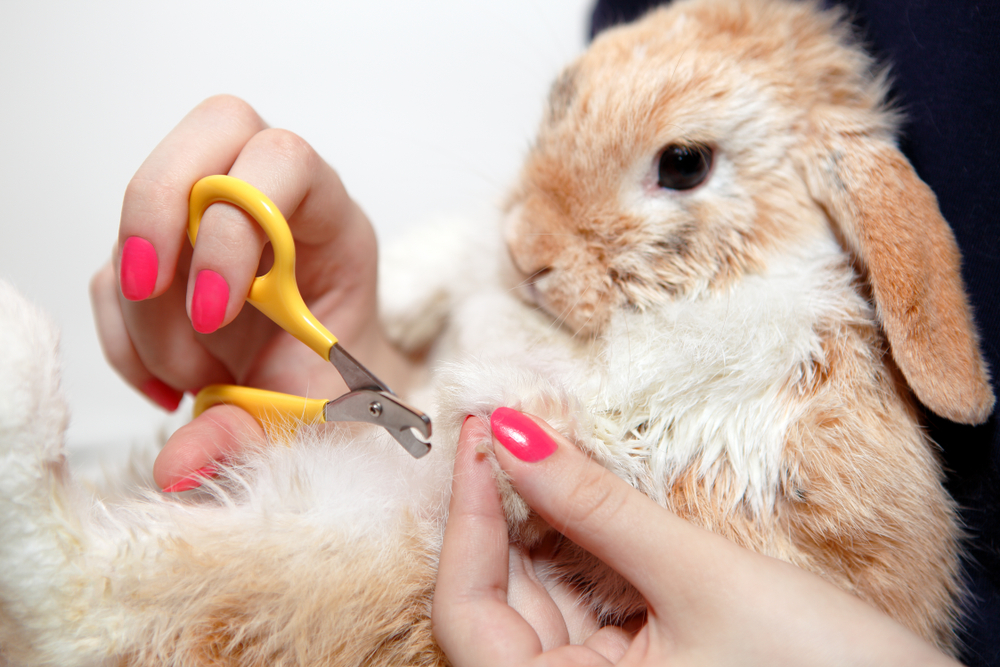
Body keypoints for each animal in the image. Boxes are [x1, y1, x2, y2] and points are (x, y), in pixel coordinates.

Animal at [0, 0, 992, 664]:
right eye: (560, 99)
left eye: (683, 164)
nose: (530, 252)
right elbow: (462, 261)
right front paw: (415, 290)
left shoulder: (781, 483)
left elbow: (633, 439)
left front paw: (499, 403)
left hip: (307, 564)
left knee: (75, 589)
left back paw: (20, 361)